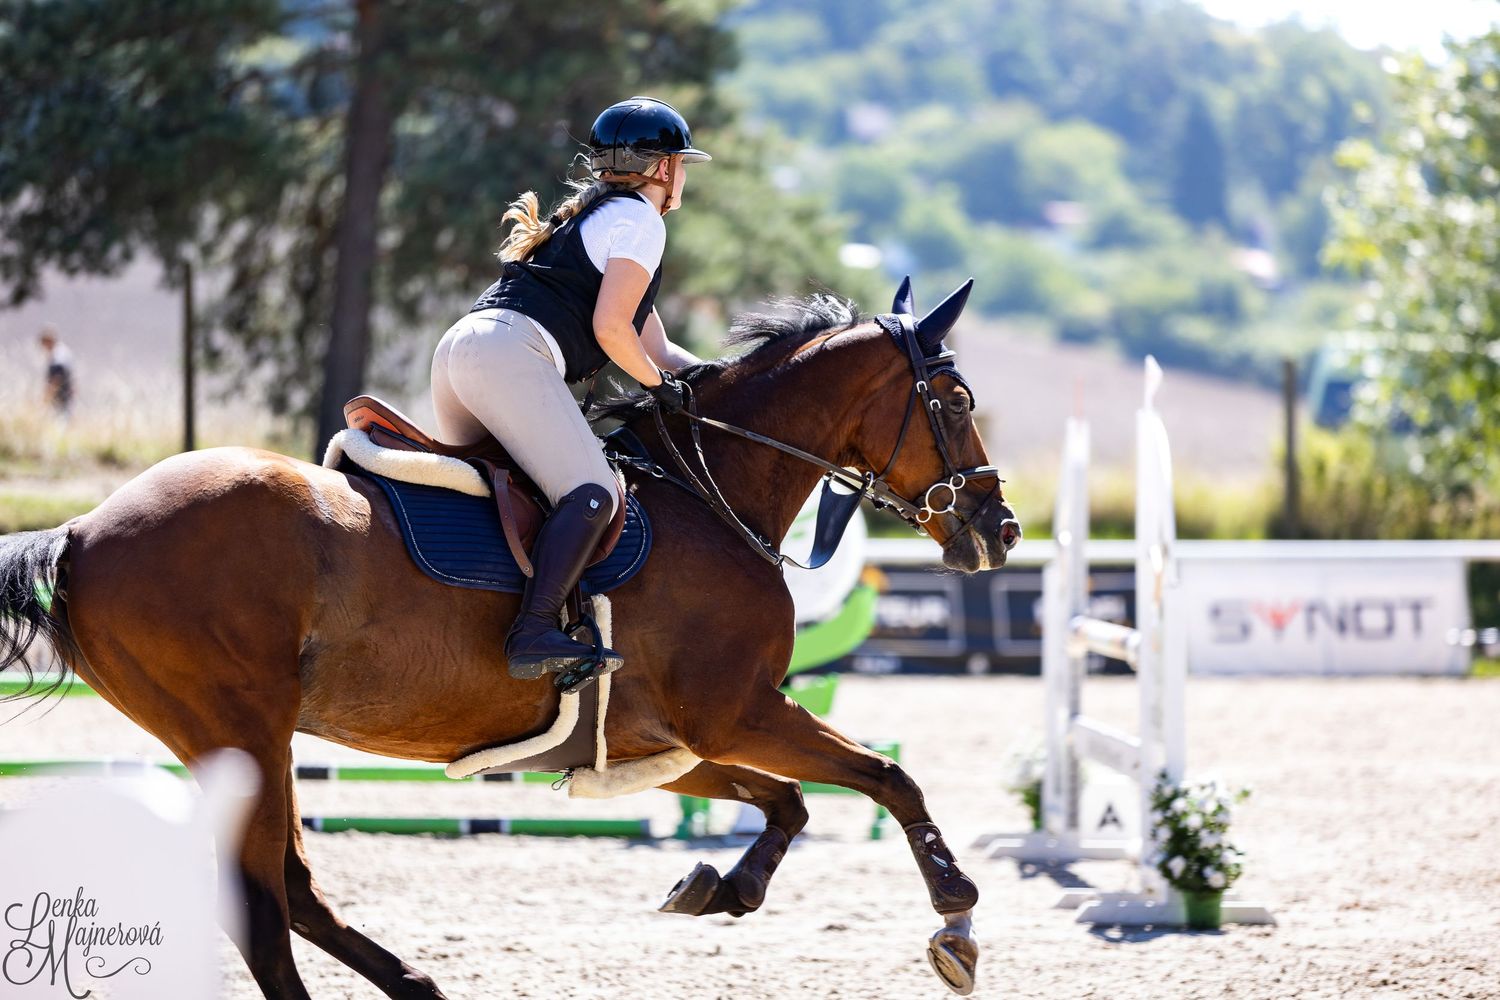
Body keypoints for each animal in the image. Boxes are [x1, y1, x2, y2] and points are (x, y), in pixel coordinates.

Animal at [0, 279, 1020, 998]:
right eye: (956, 399)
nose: (1000, 530)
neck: (710, 488)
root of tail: (85, 529)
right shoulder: (736, 713)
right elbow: (886, 777)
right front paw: (957, 923)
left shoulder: (661, 744)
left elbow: (792, 805)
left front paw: (719, 888)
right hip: (243, 734)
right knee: (263, 905)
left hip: (249, 742)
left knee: (294, 893)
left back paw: (418, 986)